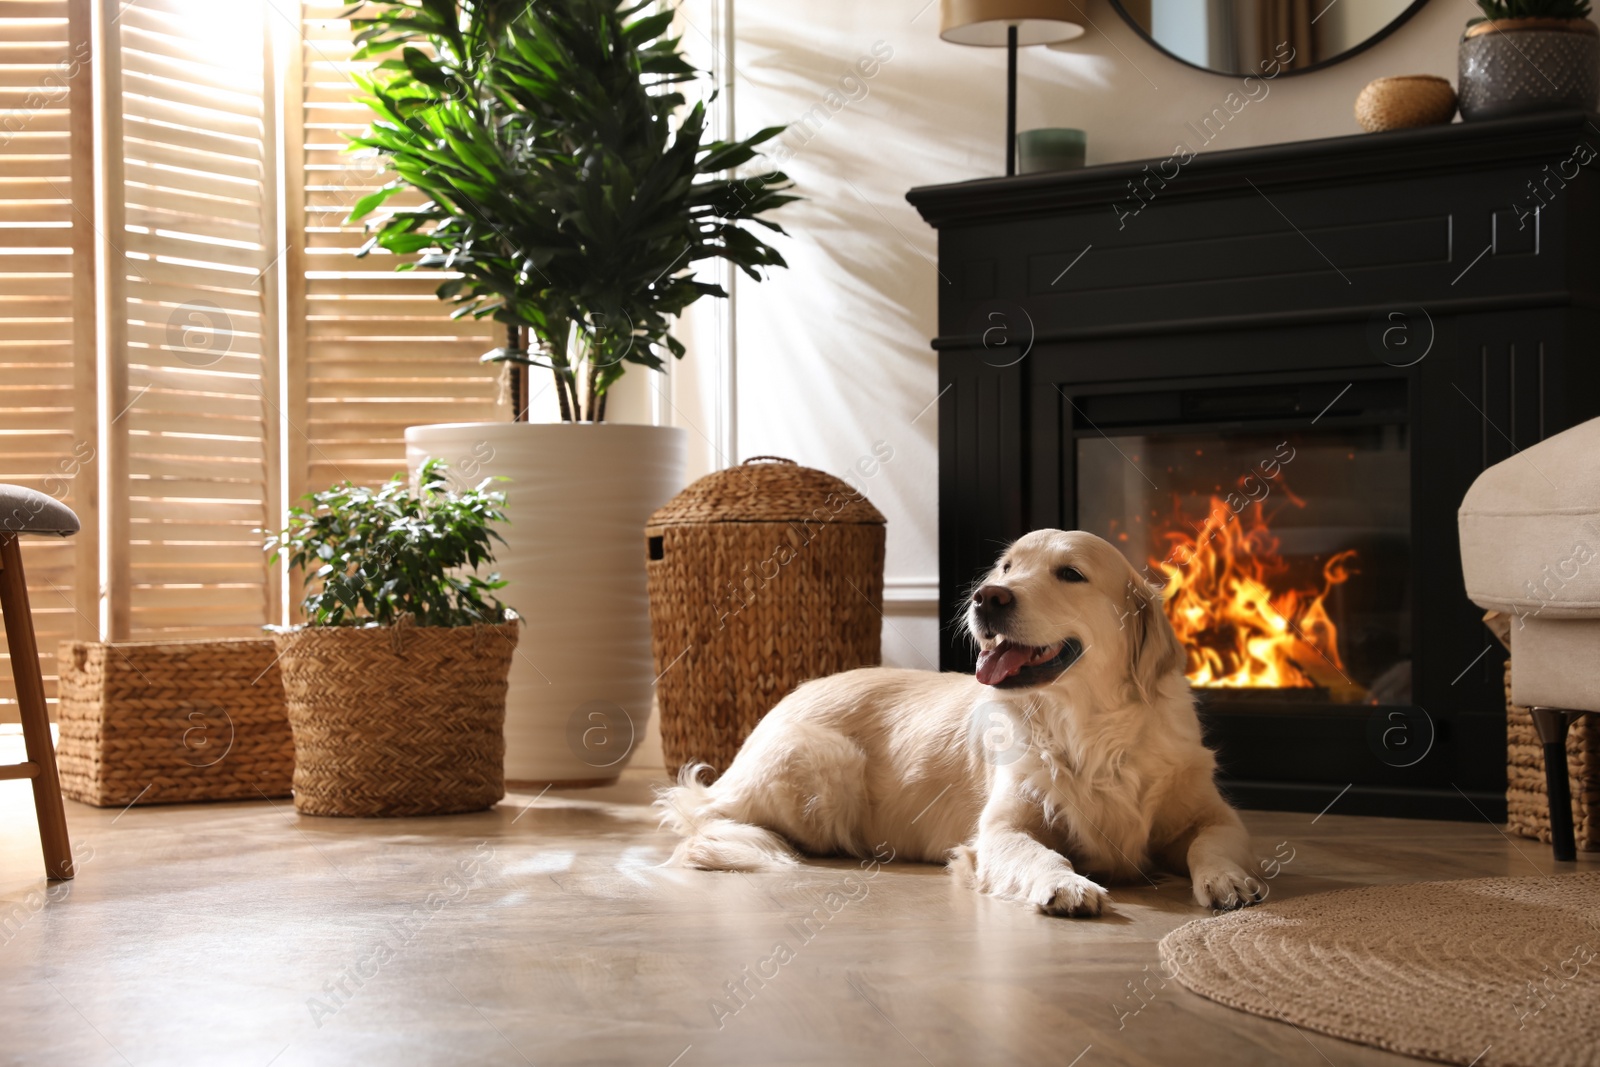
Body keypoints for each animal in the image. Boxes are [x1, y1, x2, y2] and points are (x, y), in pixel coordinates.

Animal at [652, 531, 1260, 915]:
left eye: (1071, 573)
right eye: (1008, 566)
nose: (986, 598)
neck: (1085, 728)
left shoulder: (1210, 812)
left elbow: (1214, 842)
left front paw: (1229, 880)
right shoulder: (1000, 829)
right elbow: (1041, 851)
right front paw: (1065, 883)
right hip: (820, 767)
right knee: (713, 818)